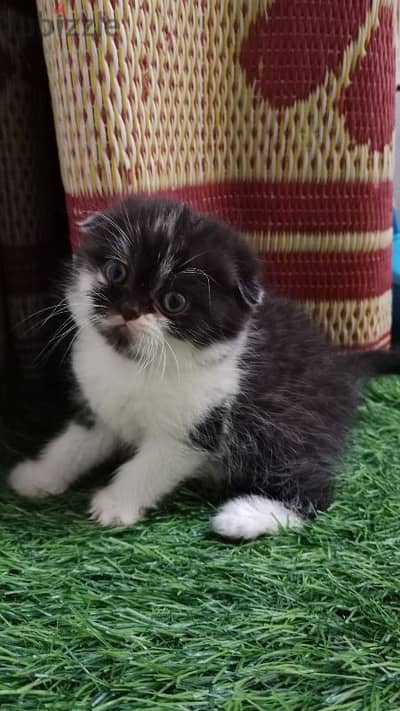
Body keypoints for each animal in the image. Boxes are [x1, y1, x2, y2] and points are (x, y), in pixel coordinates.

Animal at [8, 196, 400, 540]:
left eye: (174, 302)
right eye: (116, 271)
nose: (130, 309)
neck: (138, 365)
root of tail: (339, 368)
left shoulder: (196, 428)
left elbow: (148, 467)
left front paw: (116, 504)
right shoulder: (101, 409)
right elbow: (71, 445)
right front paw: (37, 476)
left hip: (288, 427)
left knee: (315, 490)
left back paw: (244, 517)